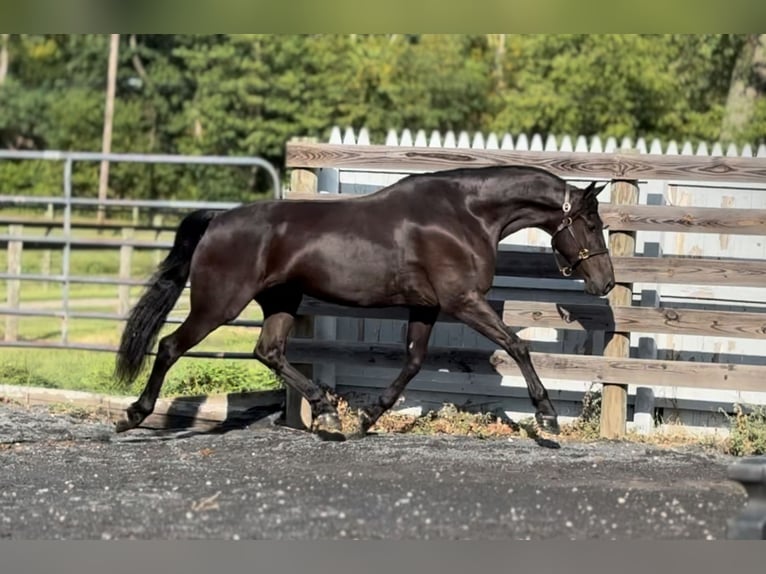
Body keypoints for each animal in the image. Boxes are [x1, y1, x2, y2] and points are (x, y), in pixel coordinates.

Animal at [114, 164, 615, 440]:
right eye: (591, 225)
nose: (605, 282)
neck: (464, 215)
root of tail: (217, 220)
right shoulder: (463, 301)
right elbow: (517, 345)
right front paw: (548, 419)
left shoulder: (427, 307)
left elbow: (413, 361)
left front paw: (367, 418)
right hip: (219, 304)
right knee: (170, 347)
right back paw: (133, 416)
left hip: (282, 300)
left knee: (269, 352)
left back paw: (328, 412)